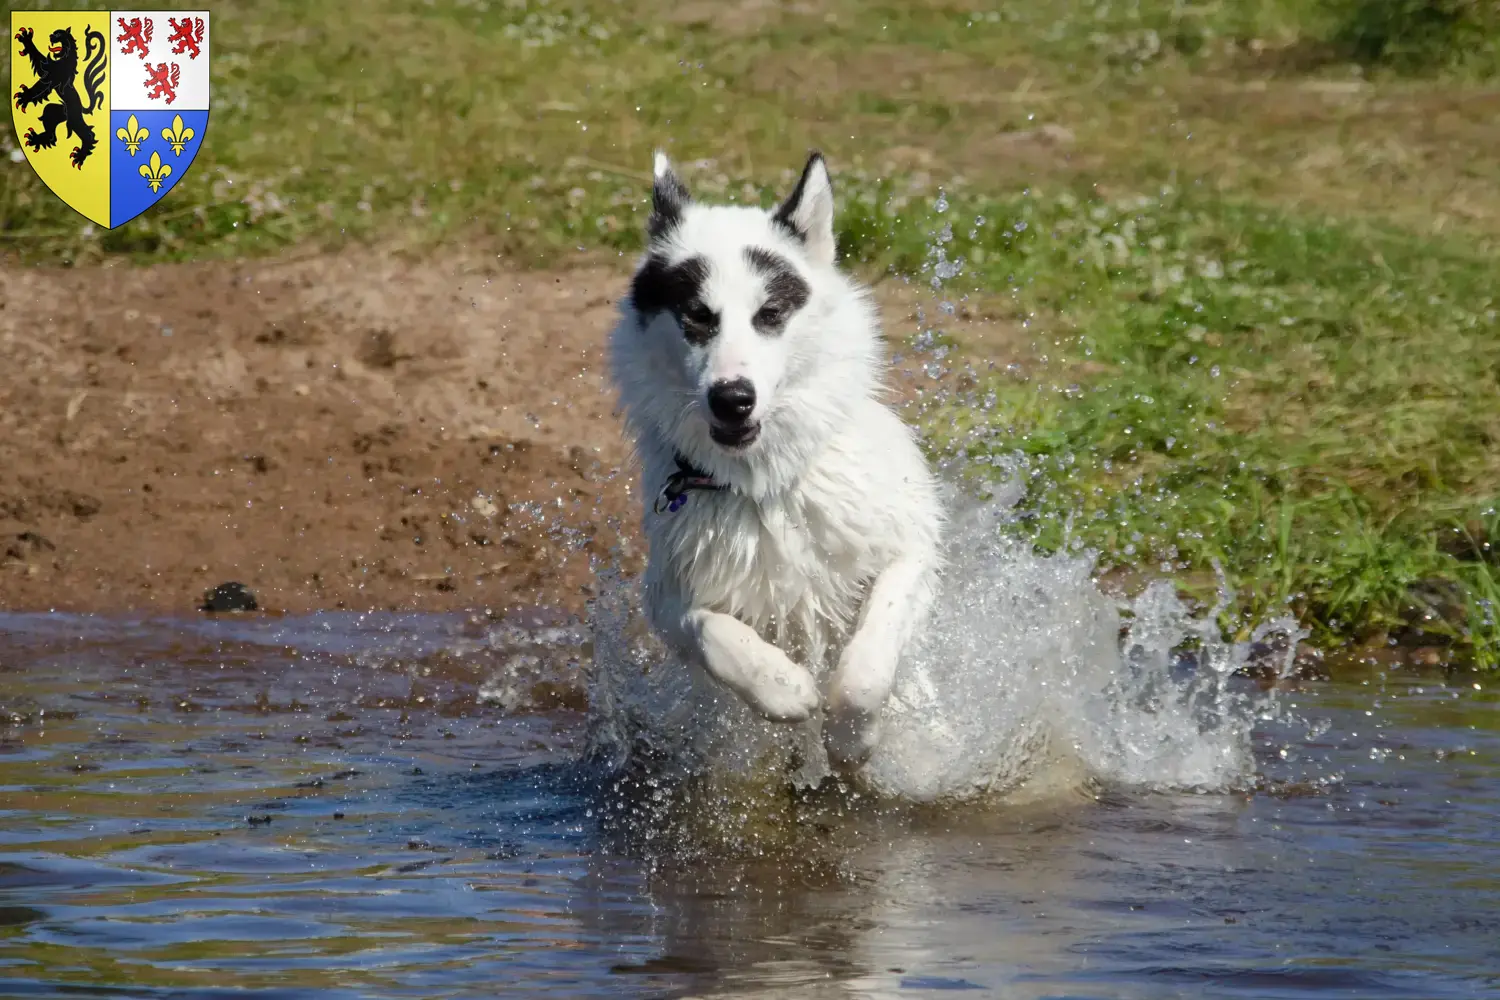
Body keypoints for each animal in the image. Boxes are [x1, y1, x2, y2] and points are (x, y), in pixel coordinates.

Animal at [13, 24, 108, 169]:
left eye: (58, 34)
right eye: (53, 33)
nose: (50, 36)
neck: (65, 58)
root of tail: (82, 108)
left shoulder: (52, 76)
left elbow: (38, 86)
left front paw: (24, 96)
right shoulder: (48, 72)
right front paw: (26, 39)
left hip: (74, 119)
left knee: (89, 134)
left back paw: (79, 156)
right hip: (55, 111)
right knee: (51, 132)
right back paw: (36, 139)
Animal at [606, 150, 936, 767]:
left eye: (771, 313)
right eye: (697, 315)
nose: (733, 399)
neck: (763, 484)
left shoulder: (912, 550)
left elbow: (868, 665)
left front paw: (852, 736)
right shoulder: (665, 596)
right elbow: (710, 630)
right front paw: (781, 686)